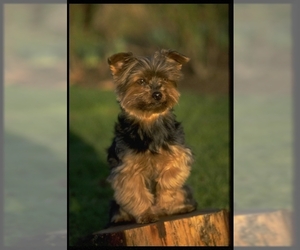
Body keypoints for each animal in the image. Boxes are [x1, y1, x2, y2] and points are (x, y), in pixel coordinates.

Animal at [106, 49, 197, 225]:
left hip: (185, 190)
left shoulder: (179, 153)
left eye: (164, 79)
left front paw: (164, 201)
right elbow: (136, 191)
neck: (150, 119)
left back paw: (180, 207)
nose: (157, 94)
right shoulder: (127, 169)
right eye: (141, 81)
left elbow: (170, 176)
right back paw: (121, 217)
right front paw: (147, 214)